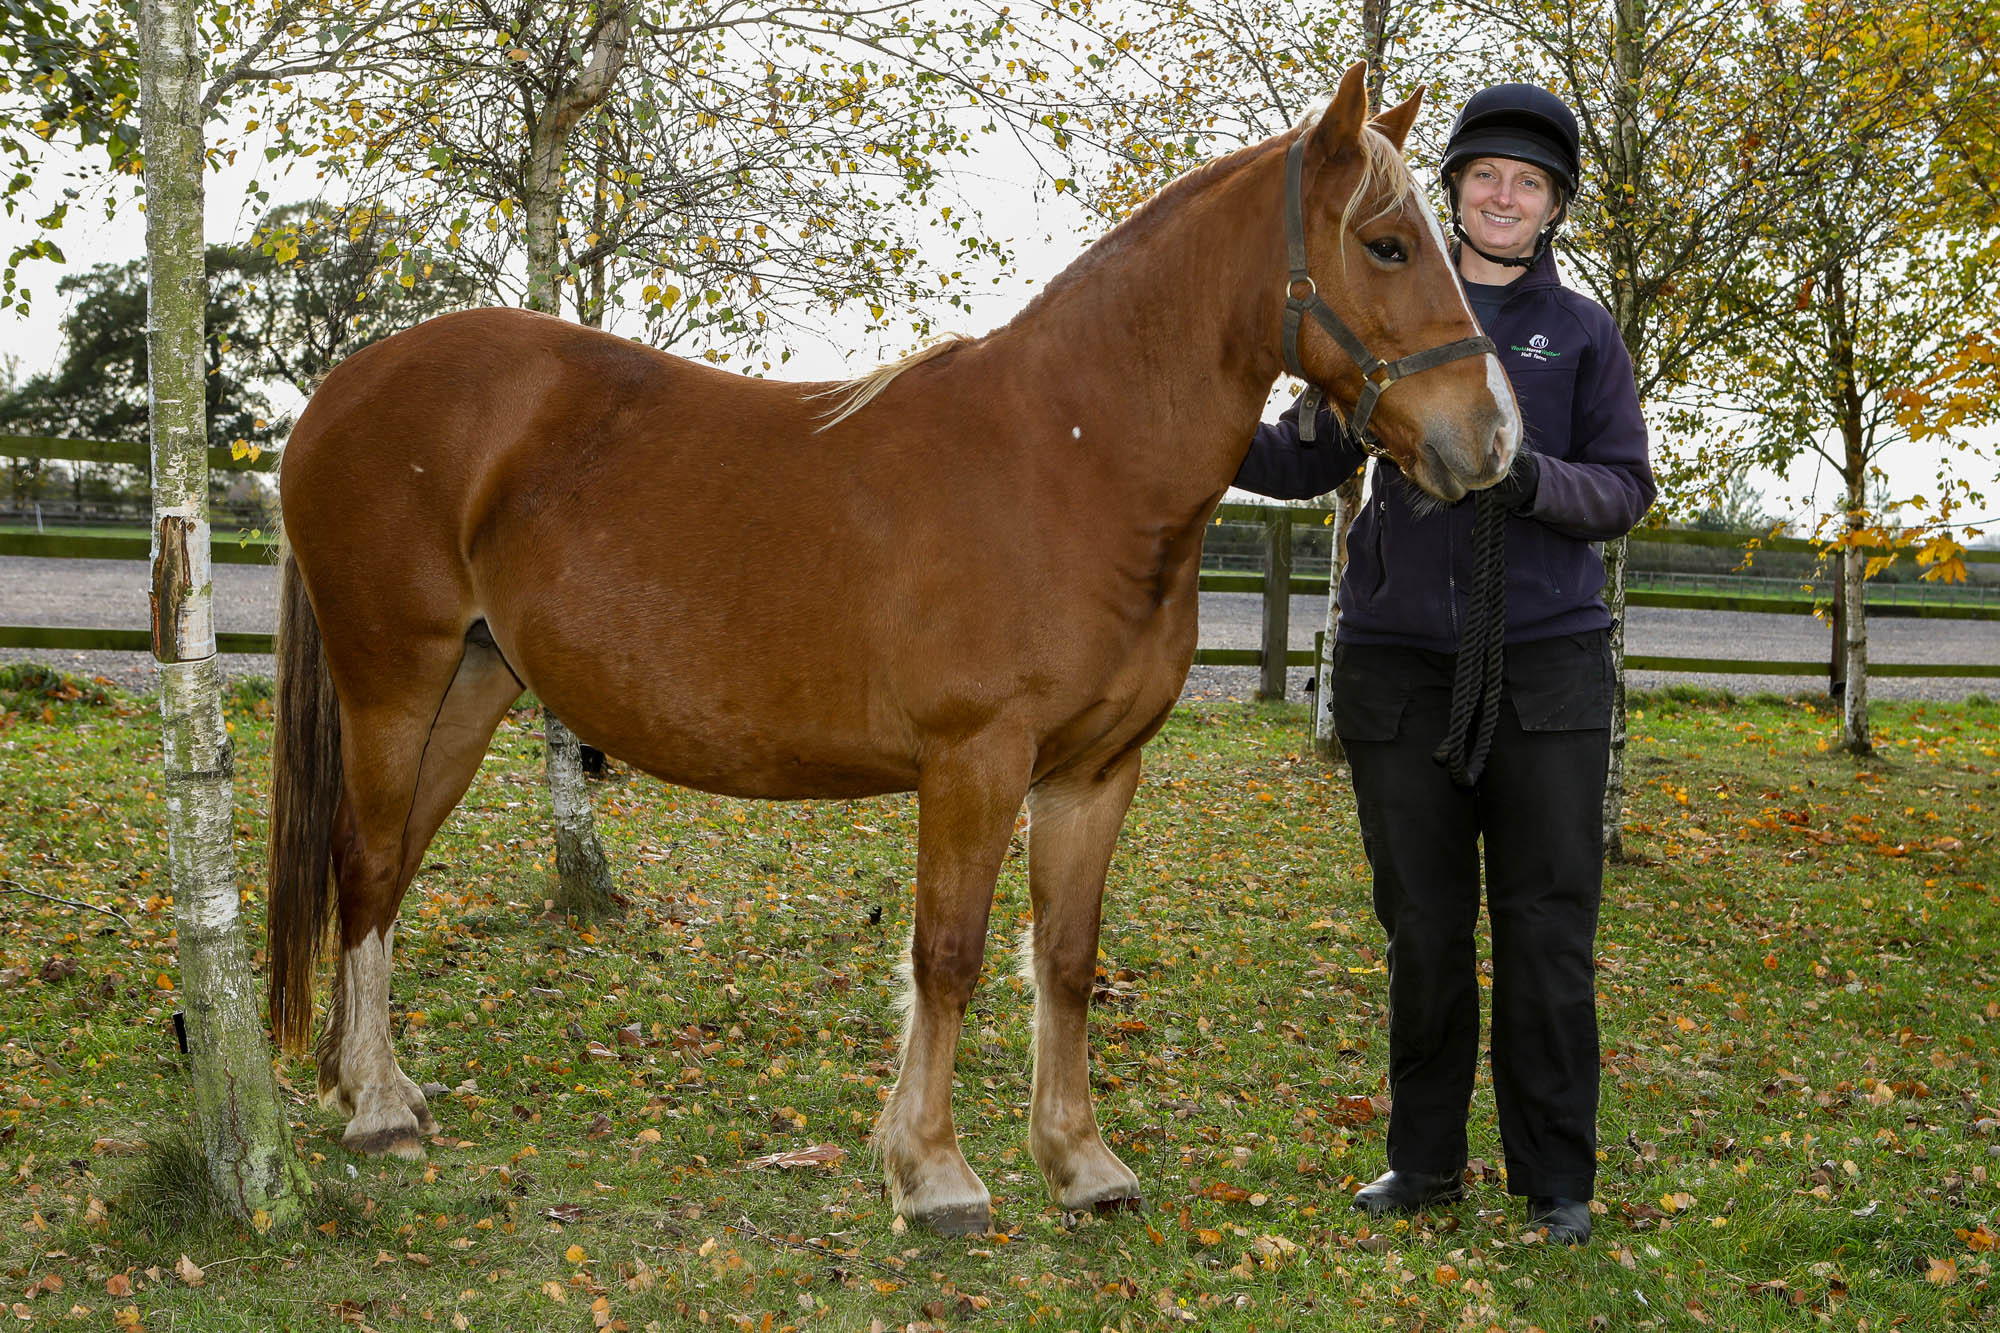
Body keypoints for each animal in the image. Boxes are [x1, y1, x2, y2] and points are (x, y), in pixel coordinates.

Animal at [265, 60, 1521, 1235]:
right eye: (1387, 244)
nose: (1492, 439)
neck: (1069, 460)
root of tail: (341, 389)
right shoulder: (974, 760)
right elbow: (948, 954)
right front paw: (933, 1173)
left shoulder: (1093, 772)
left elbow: (1065, 958)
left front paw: (1081, 1163)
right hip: (396, 681)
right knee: (364, 866)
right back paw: (375, 1109)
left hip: (472, 685)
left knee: (386, 872)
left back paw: (371, 1083)